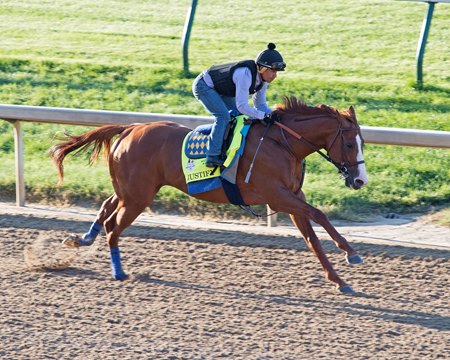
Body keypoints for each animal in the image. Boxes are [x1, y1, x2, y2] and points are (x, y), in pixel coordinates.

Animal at [51, 97, 370, 294]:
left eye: (362, 142)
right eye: (350, 144)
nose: (360, 180)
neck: (284, 144)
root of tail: (129, 127)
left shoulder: (291, 197)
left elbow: (312, 238)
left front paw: (340, 281)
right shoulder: (277, 196)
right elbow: (319, 214)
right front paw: (350, 253)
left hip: (132, 190)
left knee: (108, 205)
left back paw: (83, 239)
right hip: (139, 196)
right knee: (113, 227)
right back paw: (118, 271)